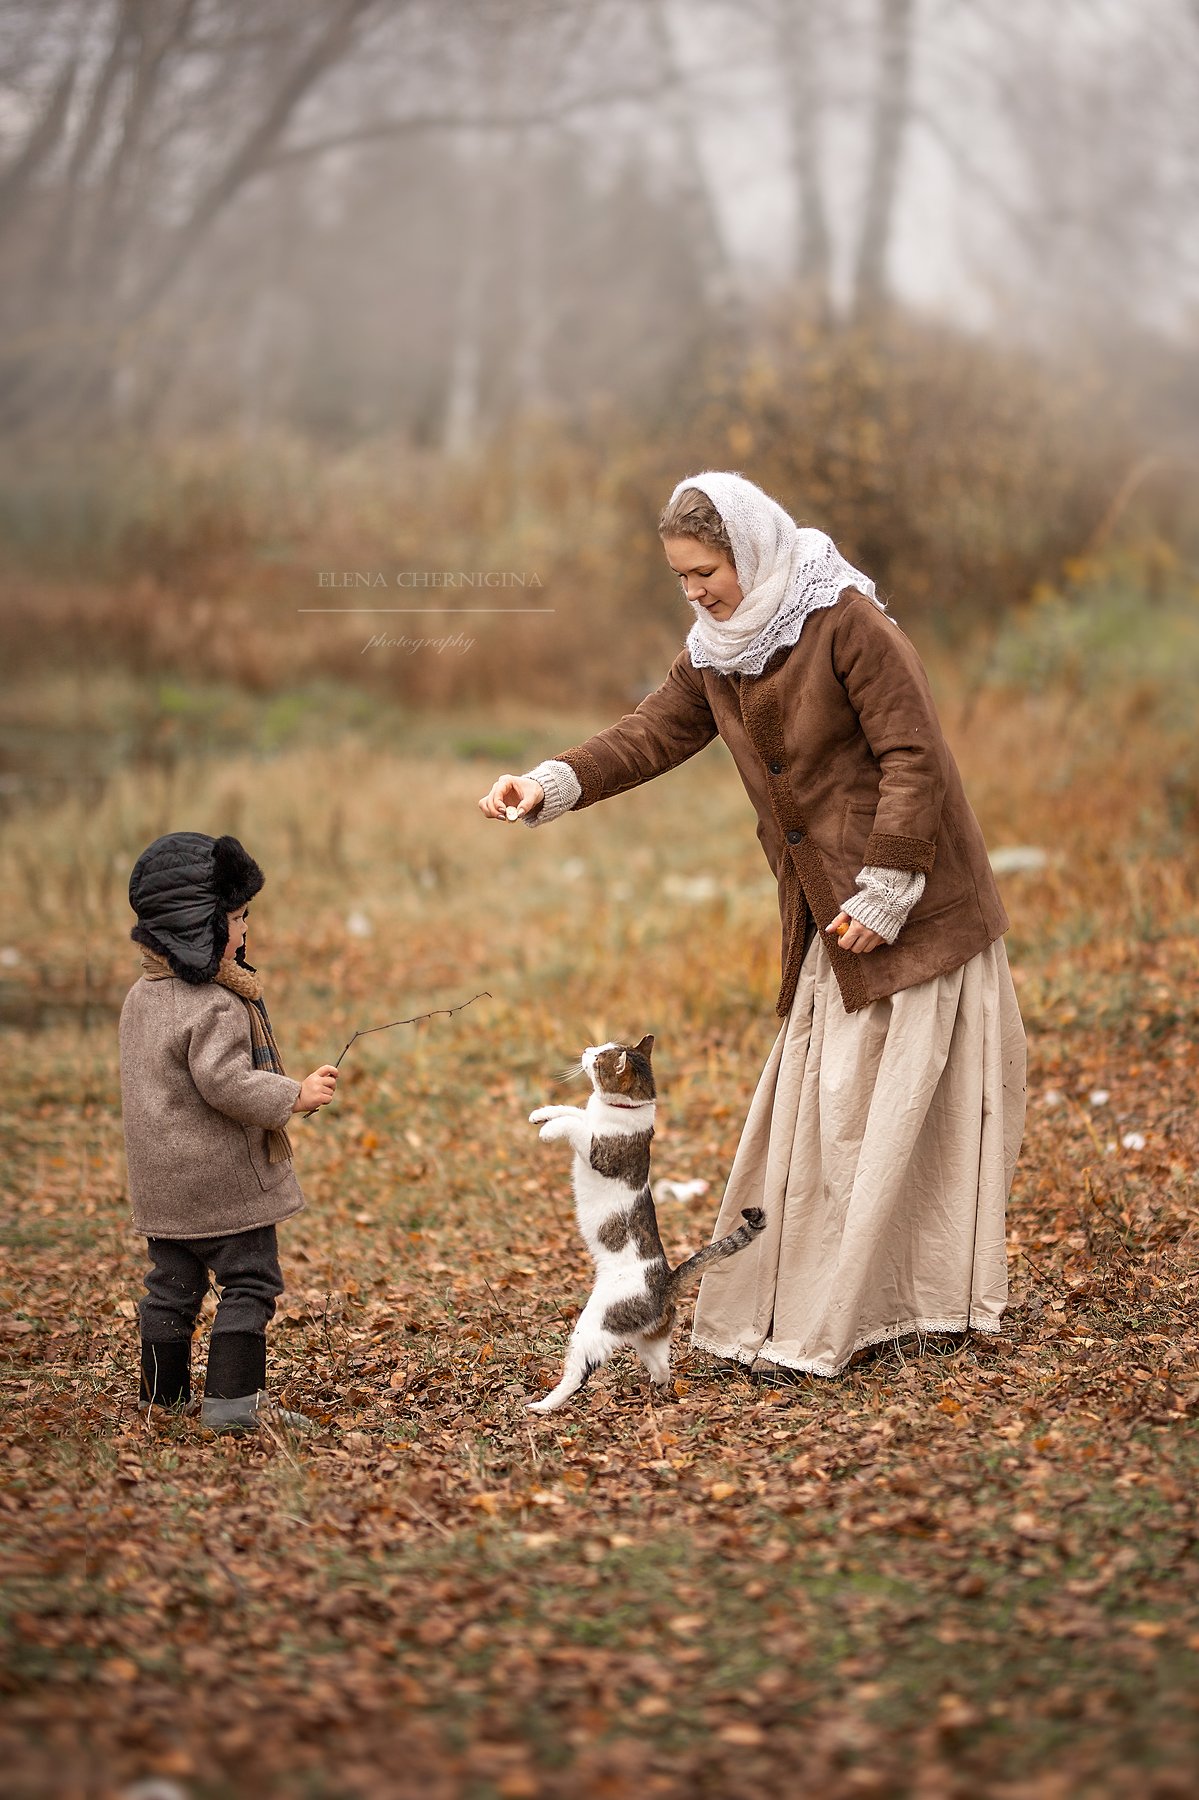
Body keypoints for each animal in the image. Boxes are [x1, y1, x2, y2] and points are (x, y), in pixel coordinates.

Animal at [525, 1036, 766, 1411]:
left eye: (599, 1057)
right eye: (600, 1047)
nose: (586, 1049)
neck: (622, 1108)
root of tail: (665, 1282)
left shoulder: (599, 1151)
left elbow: (575, 1124)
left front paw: (549, 1130)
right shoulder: (587, 1116)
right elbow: (574, 1110)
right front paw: (542, 1113)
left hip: (595, 1324)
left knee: (578, 1373)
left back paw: (544, 1405)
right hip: (648, 1340)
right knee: (664, 1367)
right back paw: (657, 1388)